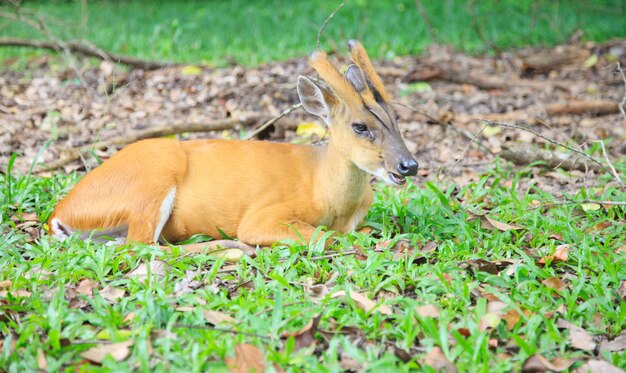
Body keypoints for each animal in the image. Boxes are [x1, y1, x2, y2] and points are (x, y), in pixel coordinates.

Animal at [46, 40, 416, 248]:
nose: (409, 165)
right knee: (141, 247)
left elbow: (366, 230)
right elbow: (326, 237)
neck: (325, 189)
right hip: (150, 181)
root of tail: (59, 213)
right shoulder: (263, 216)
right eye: (360, 126)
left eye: (396, 118)